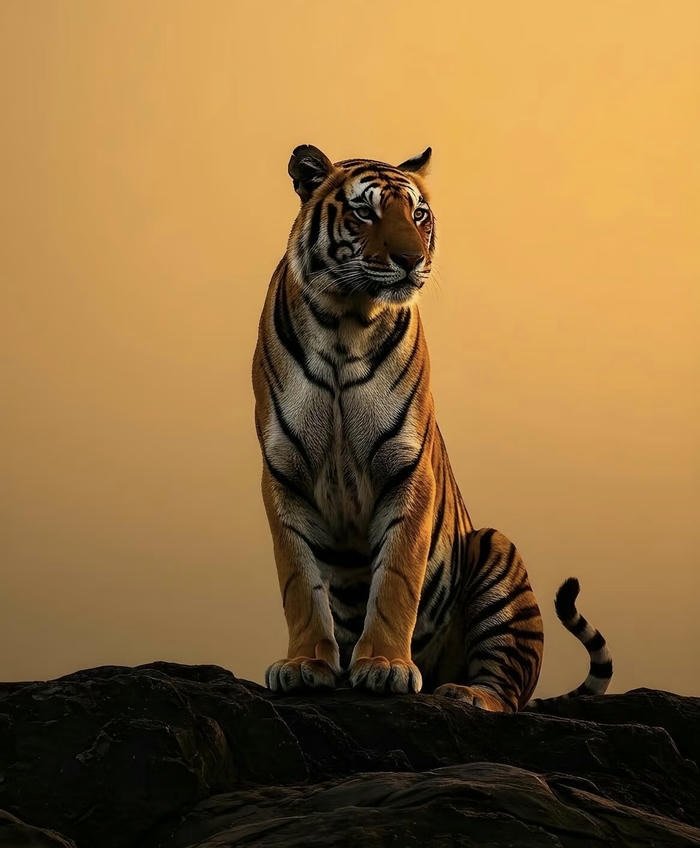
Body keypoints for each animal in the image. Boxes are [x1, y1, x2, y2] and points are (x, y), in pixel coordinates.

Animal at [251, 144, 613, 711]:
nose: (412, 259)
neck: (345, 324)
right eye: (365, 211)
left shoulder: (407, 468)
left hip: (497, 554)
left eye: (419, 214)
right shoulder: (284, 474)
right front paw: (305, 665)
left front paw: (384, 667)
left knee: (506, 692)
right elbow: (299, 583)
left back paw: (463, 693)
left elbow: (397, 579)